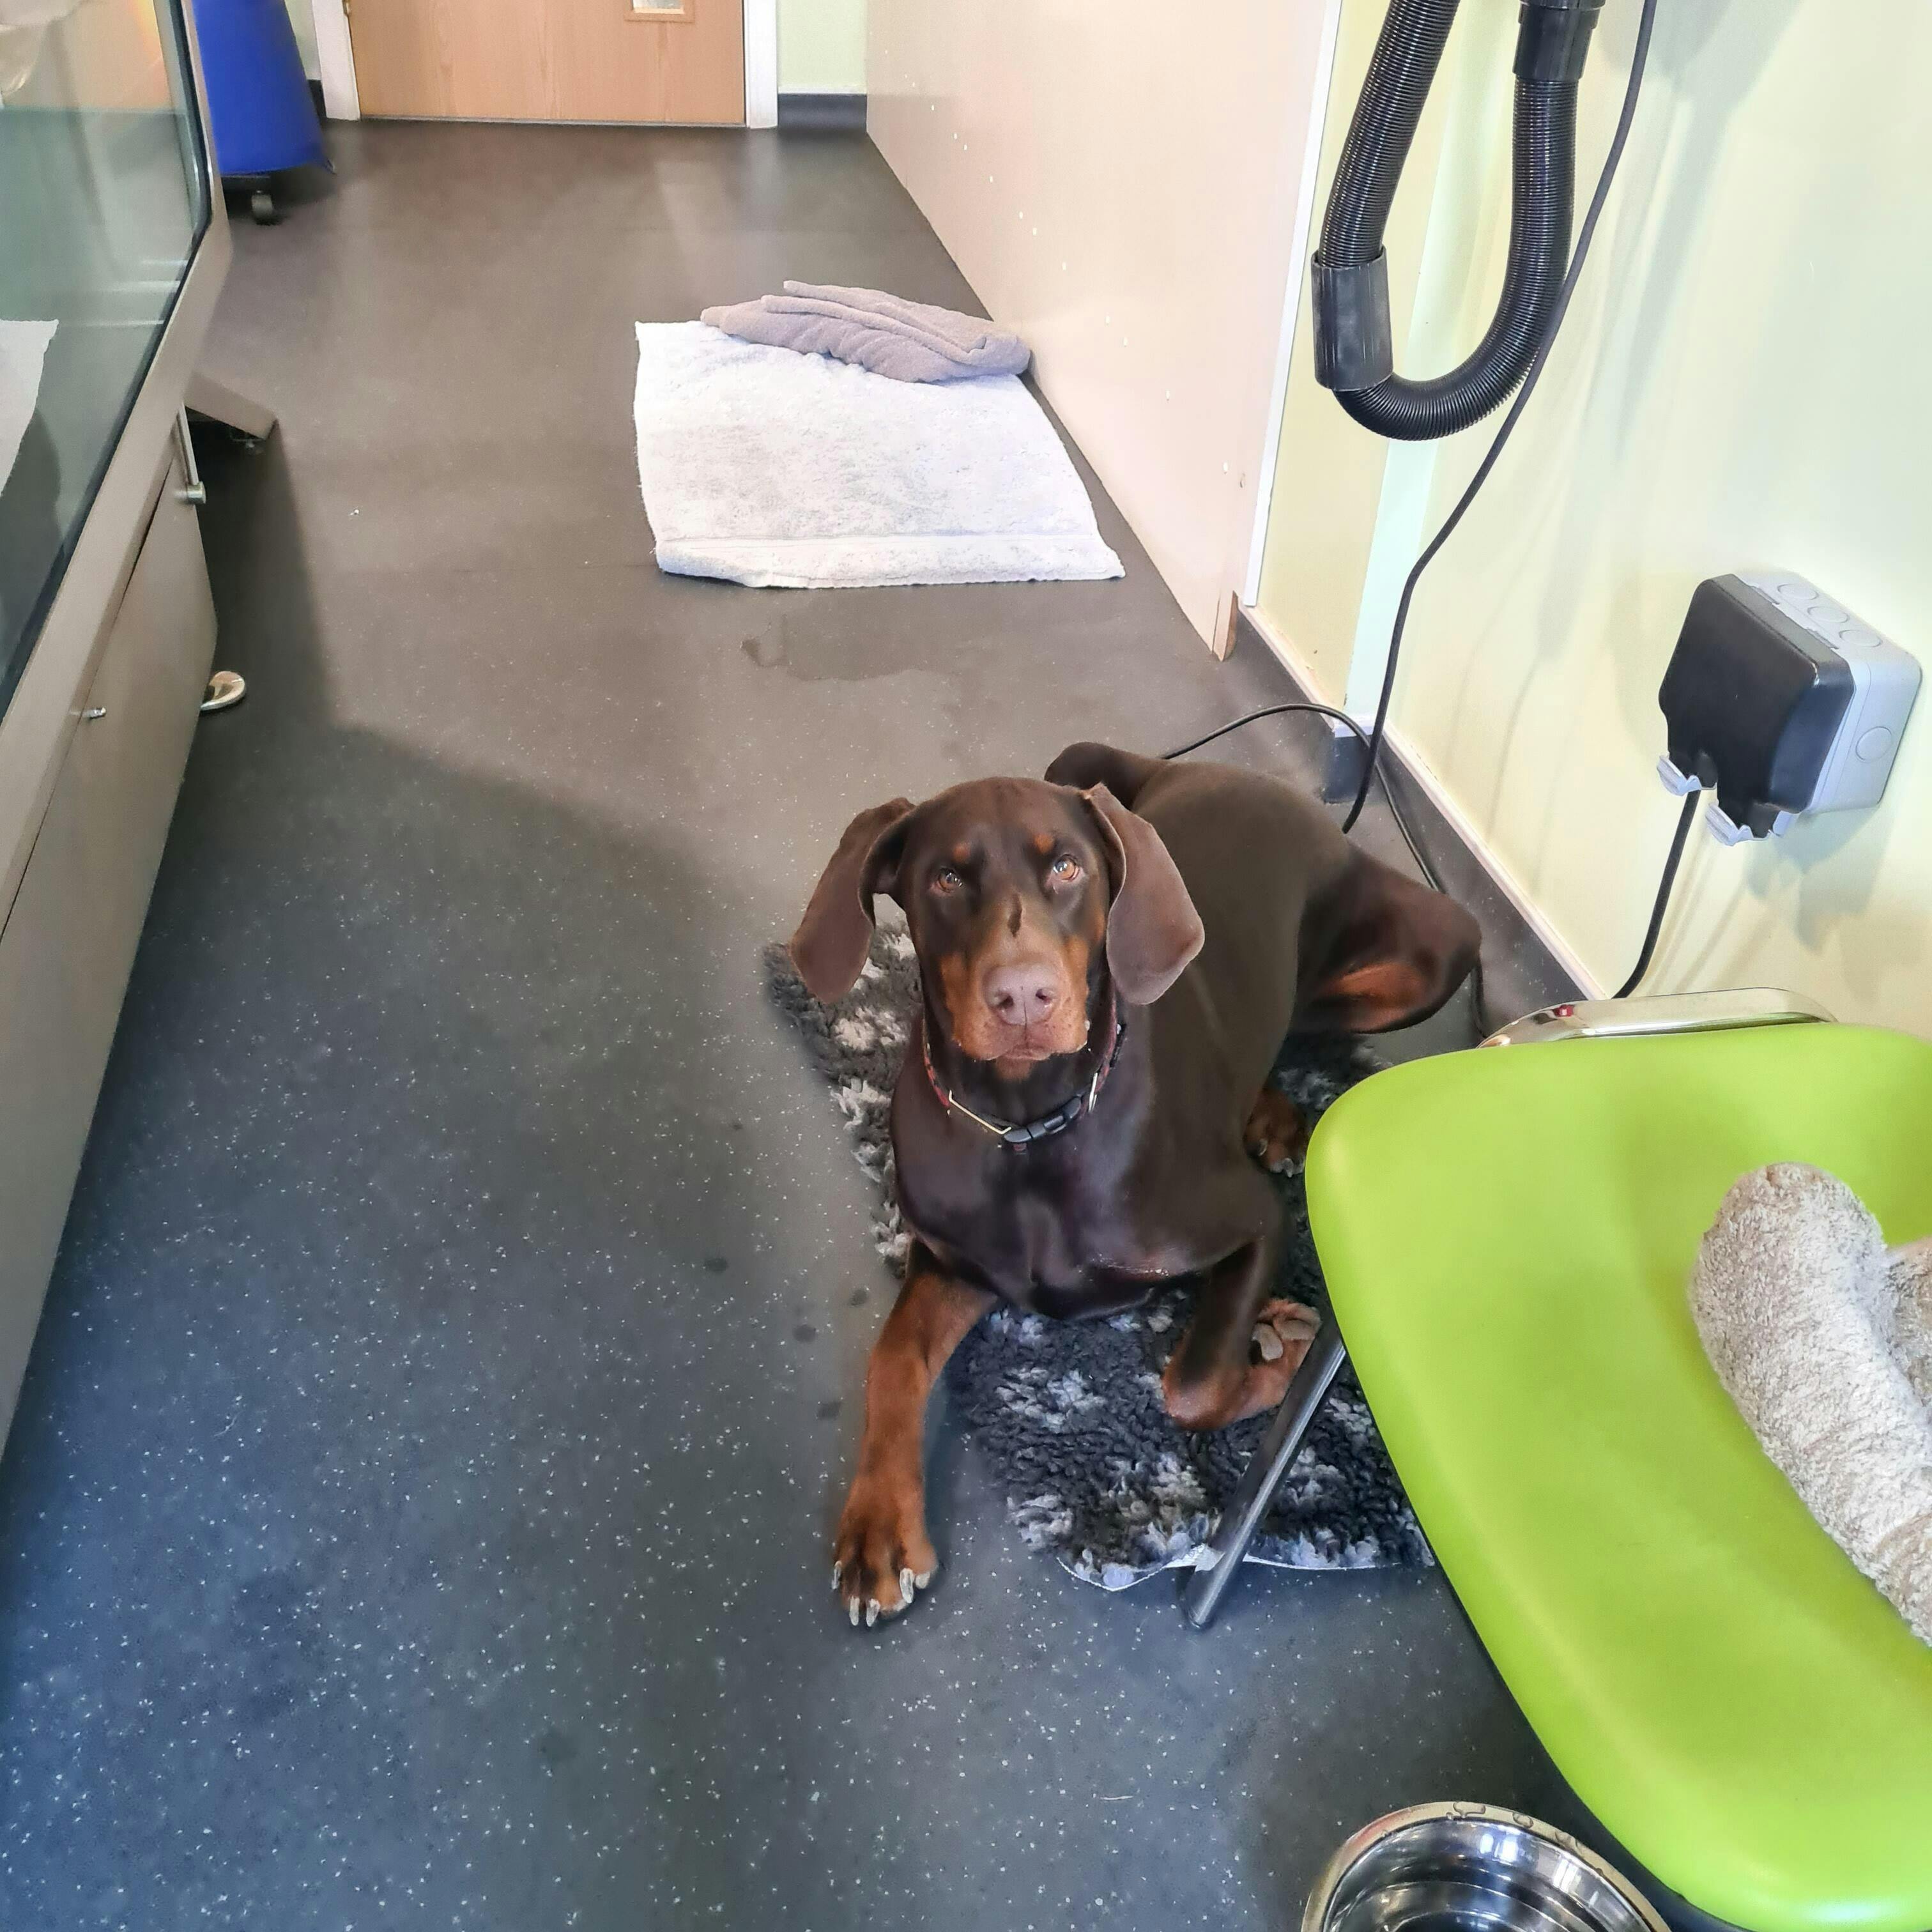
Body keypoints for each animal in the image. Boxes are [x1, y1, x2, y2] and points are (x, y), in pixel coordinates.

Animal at [790, 742, 1479, 1627]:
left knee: (1303, 1014)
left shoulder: (1253, 1220)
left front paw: (1280, 1349)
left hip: (1436, 949)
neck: (1029, 1128)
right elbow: (893, 1358)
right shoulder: (952, 1259)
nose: (1024, 998)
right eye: (945, 878)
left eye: (1069, 869)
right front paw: (879, 1526)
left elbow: (1191, 1386)